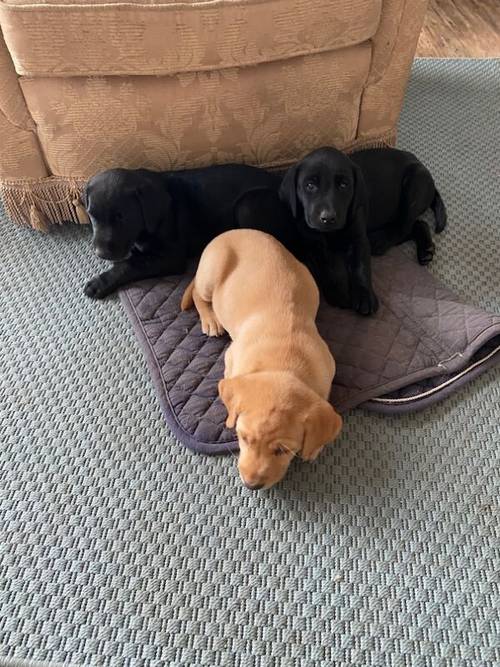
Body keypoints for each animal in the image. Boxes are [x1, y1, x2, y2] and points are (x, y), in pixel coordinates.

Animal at [86, 164, 282, 298]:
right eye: (91, 215)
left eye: (121, 217)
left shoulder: (171, 257)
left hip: (248, 204)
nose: (100, 253)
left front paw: (100, 282)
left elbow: (130, 264)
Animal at [182, 228, 342, 486]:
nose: (251, 484)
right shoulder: (232, 357)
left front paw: (314, 448)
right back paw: (210, 318)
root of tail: (232, 231)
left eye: (282, 450)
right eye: (243, 437)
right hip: (211, 272)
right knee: (198, 292)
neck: (283, 363)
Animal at [276, 147, 448, 314]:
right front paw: (338, 293)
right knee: (417, 224)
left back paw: (382, 241)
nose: (328, 218)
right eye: (310, 186)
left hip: (415, 185)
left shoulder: (358, 239)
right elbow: (325, 270)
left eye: (344, 185)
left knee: (404, 227)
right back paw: (425, 250)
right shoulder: (313, 246)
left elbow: (361, 266)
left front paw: (365, 297)